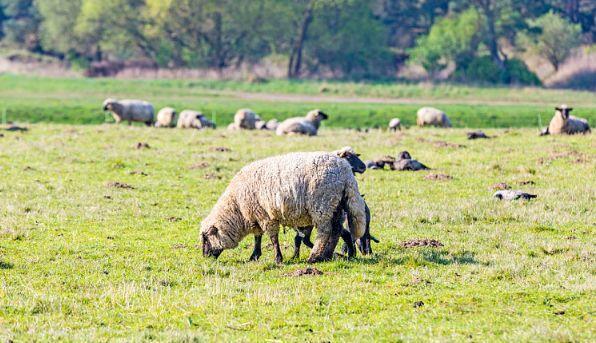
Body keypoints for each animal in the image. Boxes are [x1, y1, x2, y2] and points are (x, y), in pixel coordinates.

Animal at [201, 150, 368, 264]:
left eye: (205, 238)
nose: (205, 257)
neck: (237, 209)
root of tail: (345, 172)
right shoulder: (256, 215)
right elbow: (258, 236)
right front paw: (254, 255)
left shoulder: (265, 215)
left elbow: (272, 238)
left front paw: (277, 258)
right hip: (336, 205)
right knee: (336, 230)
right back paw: (327, 255)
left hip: (322, 204)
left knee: (325, 231)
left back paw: (314, 257)